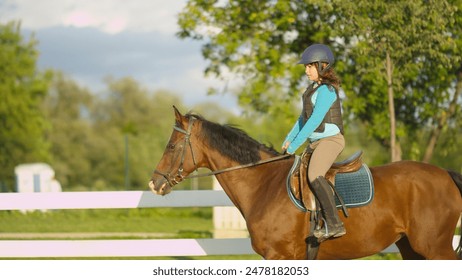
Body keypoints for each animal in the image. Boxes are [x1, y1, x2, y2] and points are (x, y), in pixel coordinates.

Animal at [149, 106, 462, 260]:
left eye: (172, 146)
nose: (154, 183)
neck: (264, 185)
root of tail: (445, 173)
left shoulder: (280, 256)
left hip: (435, 249)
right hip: (411, 249)